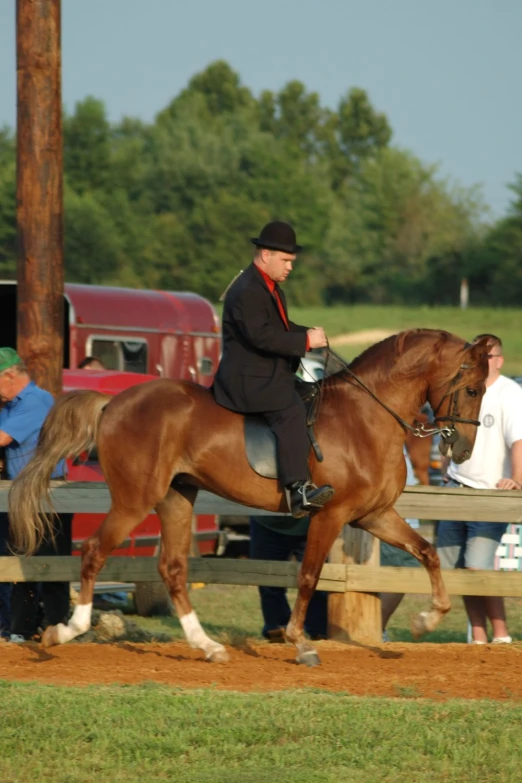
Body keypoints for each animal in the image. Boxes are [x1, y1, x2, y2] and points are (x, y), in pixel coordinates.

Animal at [9, 328, 488, 664]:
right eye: (471, 389)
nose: (463, 451)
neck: (367, 415)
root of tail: (113, 403)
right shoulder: (330, 514)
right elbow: (309, 576)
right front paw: (300, 644)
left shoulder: (373, 515)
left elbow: (426, 551)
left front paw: (427, 620)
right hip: (134, 501)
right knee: (93, 551)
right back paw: (65, 631)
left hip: (176, 498)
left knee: (172, 569)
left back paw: (207, 646)